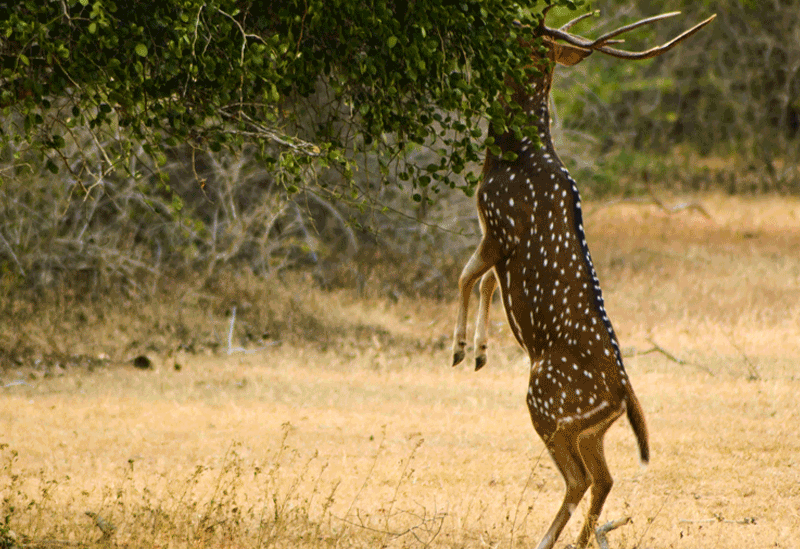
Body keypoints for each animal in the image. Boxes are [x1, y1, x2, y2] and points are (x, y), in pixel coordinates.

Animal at [446, 7, 716, 548]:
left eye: (524, 34)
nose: (500, 24)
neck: (509, 156)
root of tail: (622, 398)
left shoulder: (499, 226)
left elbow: (466, 276)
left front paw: (460, 350)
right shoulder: (491, 236)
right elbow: (483, 282)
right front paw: (480, 352)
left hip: (547, 405)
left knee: (580, 478)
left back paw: (549, 540)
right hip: (591, 428)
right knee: (604, 478)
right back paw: (578, 539)